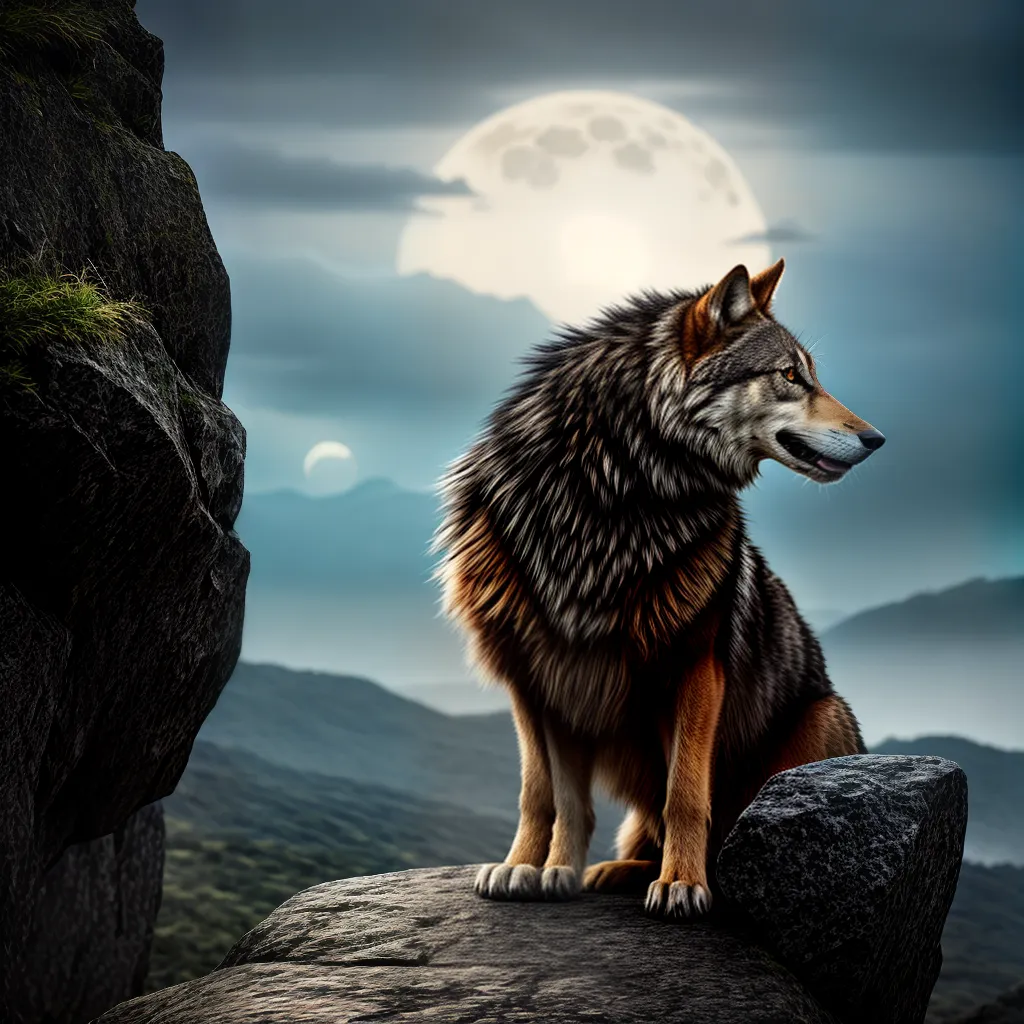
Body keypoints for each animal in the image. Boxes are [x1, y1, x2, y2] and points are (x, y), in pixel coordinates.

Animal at [433, 259, 885, 919]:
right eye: (790, 375)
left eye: (809, 375)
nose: (877, 439)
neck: (608, 495)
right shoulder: (539, 674)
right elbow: (548, 795)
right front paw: (537, 870)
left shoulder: (694, 667)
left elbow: (685, 795)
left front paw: (681, 885)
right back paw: (614, 871)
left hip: (822, 718)